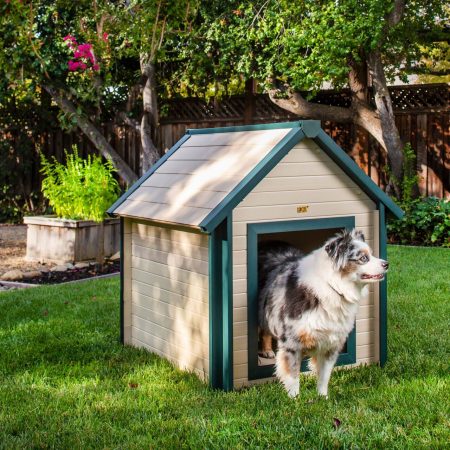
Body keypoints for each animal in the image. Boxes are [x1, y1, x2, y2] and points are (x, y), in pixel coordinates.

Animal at [258, 230, 388, 400]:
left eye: (372, 254)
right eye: (363, 258)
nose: (387, 264)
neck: (333, 287)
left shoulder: (331, 344)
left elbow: (324, 375)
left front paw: (322, 398)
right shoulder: (292, 343)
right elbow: (293, 376)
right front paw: (295, 400)